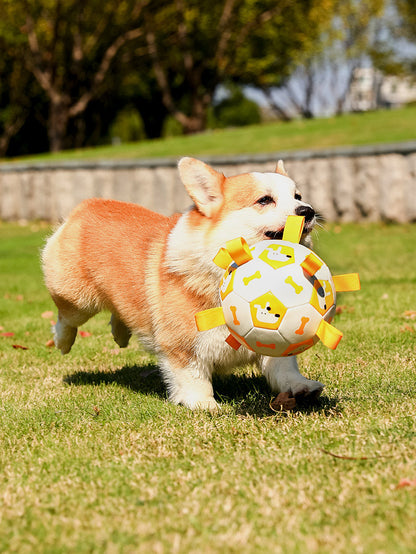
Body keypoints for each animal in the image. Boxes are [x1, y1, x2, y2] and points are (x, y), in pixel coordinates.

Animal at [42, 157, 324, 408]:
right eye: (264, 200)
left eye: (298, 196)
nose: (309, 211)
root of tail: (87, 204)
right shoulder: (181, 346)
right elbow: (192, 376)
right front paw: (203, 403)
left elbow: (283, 367)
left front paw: (301, 387)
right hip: (77, 298)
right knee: (65, 318)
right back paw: (62, 342)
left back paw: (120, 334)